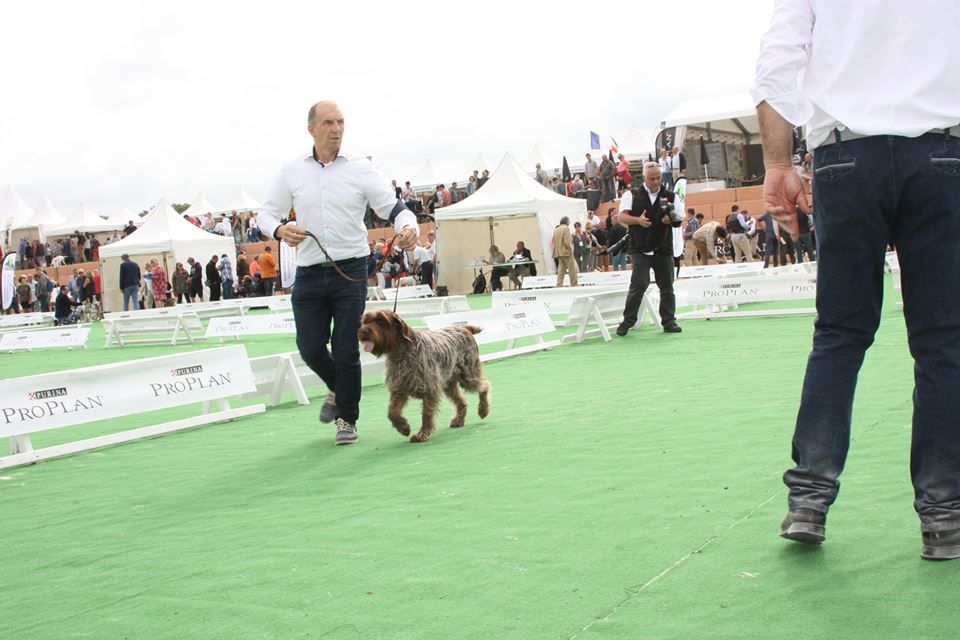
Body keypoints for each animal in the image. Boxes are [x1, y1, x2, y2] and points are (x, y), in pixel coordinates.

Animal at [360, 308, 496, 440]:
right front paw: (403, 427)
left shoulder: (429, 389)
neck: (400, 353)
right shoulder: (399, 389)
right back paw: (459, 420)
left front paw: (422, 434)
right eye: (365, 321)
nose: (363, 331)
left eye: (380, 320)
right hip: (449, 383)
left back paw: (483, 410)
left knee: (485, 386)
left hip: (467, 376)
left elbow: (426, 414)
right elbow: (392, 412)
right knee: (462, 401)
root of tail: (464, 329)